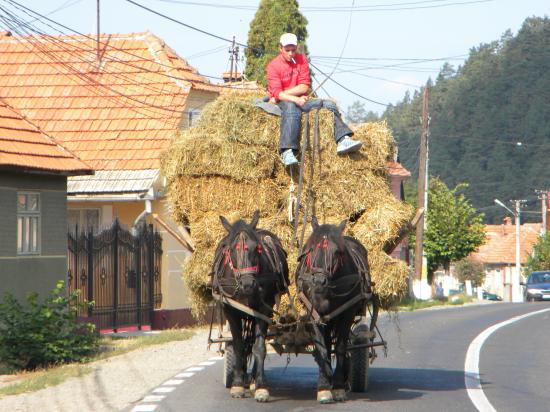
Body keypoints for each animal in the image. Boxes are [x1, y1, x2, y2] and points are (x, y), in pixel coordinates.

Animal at [211, 211, 292, 400]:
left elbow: (259, 347)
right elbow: (238, 345)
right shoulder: (231, 310)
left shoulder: (263, 309)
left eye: (257, 248)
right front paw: (238, 383)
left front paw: (261, 385)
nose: (248, 284)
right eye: (232, 249)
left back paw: (254, 378)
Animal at [298, 217, 376, 404]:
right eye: (311, 249)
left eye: (337, 252)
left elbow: (340, 347)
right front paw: (324, 387)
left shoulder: (346, 314)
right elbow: (322, 348)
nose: (319, 281)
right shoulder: (314, 315)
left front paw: (338, 386)